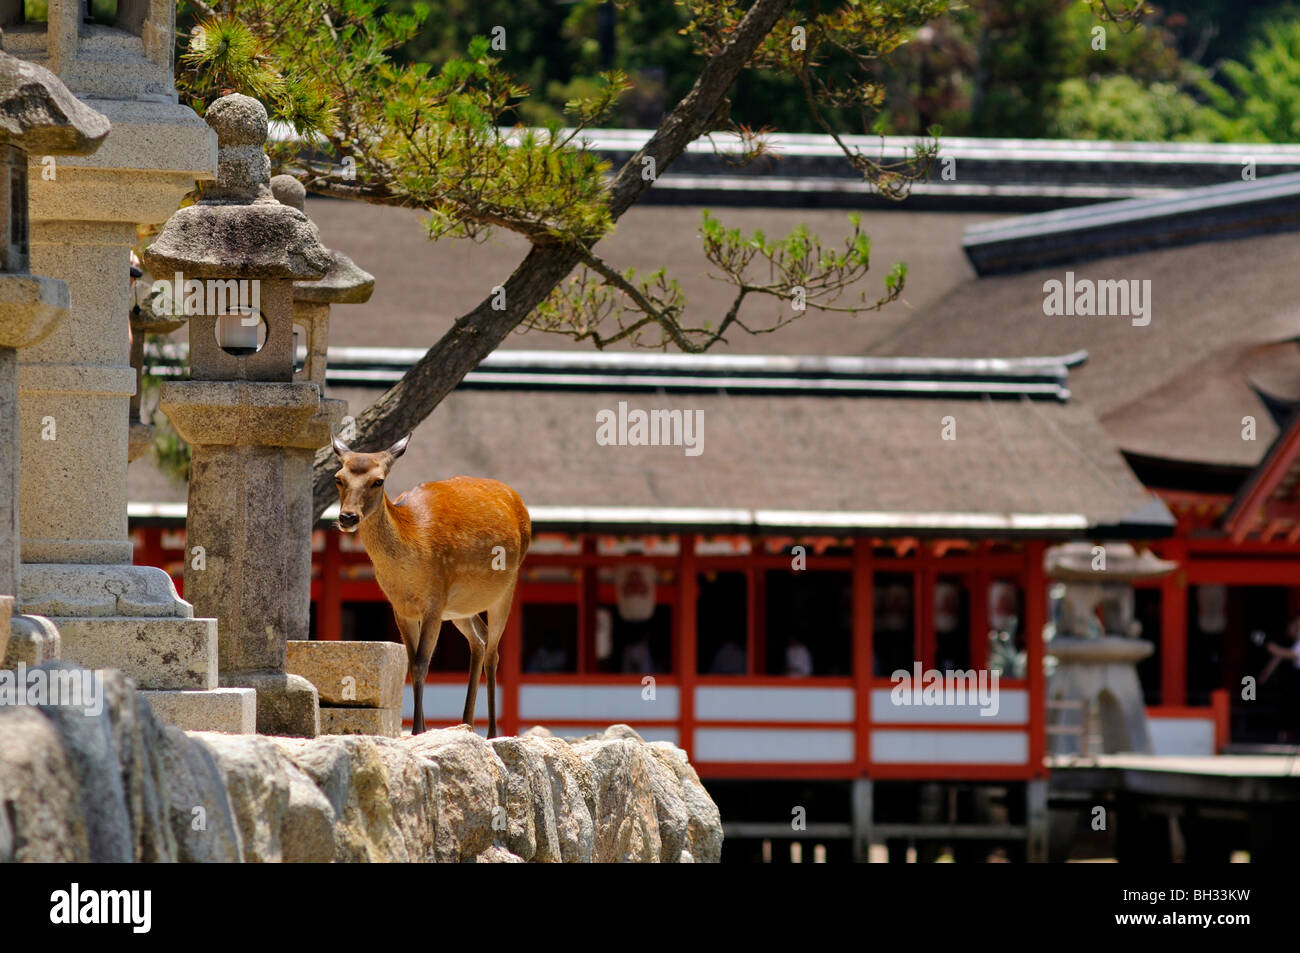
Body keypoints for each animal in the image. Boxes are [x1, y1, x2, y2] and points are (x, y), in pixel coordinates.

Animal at [332, 431, 530, 738]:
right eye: (338, 478)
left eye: (378, 480)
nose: (348, 517)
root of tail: (518, 500)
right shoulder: (400, 608)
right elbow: (411, 662)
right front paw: (422, 729)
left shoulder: (434, 603)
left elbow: (422, 663)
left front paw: (416, 730)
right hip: (460, 608)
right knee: (479, 640)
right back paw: (466, 723)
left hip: (505, 589)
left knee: (493, 652)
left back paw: (491, 732)